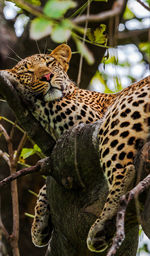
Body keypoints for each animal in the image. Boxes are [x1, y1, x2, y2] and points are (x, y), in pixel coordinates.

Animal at [0, 44, 149, 252]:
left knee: (124, 171)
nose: (47, 76)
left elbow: (48, 102)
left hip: (120, 111)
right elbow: (46, 182)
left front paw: (11, 78)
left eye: (49, 63)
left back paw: (103, 223)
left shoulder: (87, 118)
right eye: (27, 71)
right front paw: (39, 226)